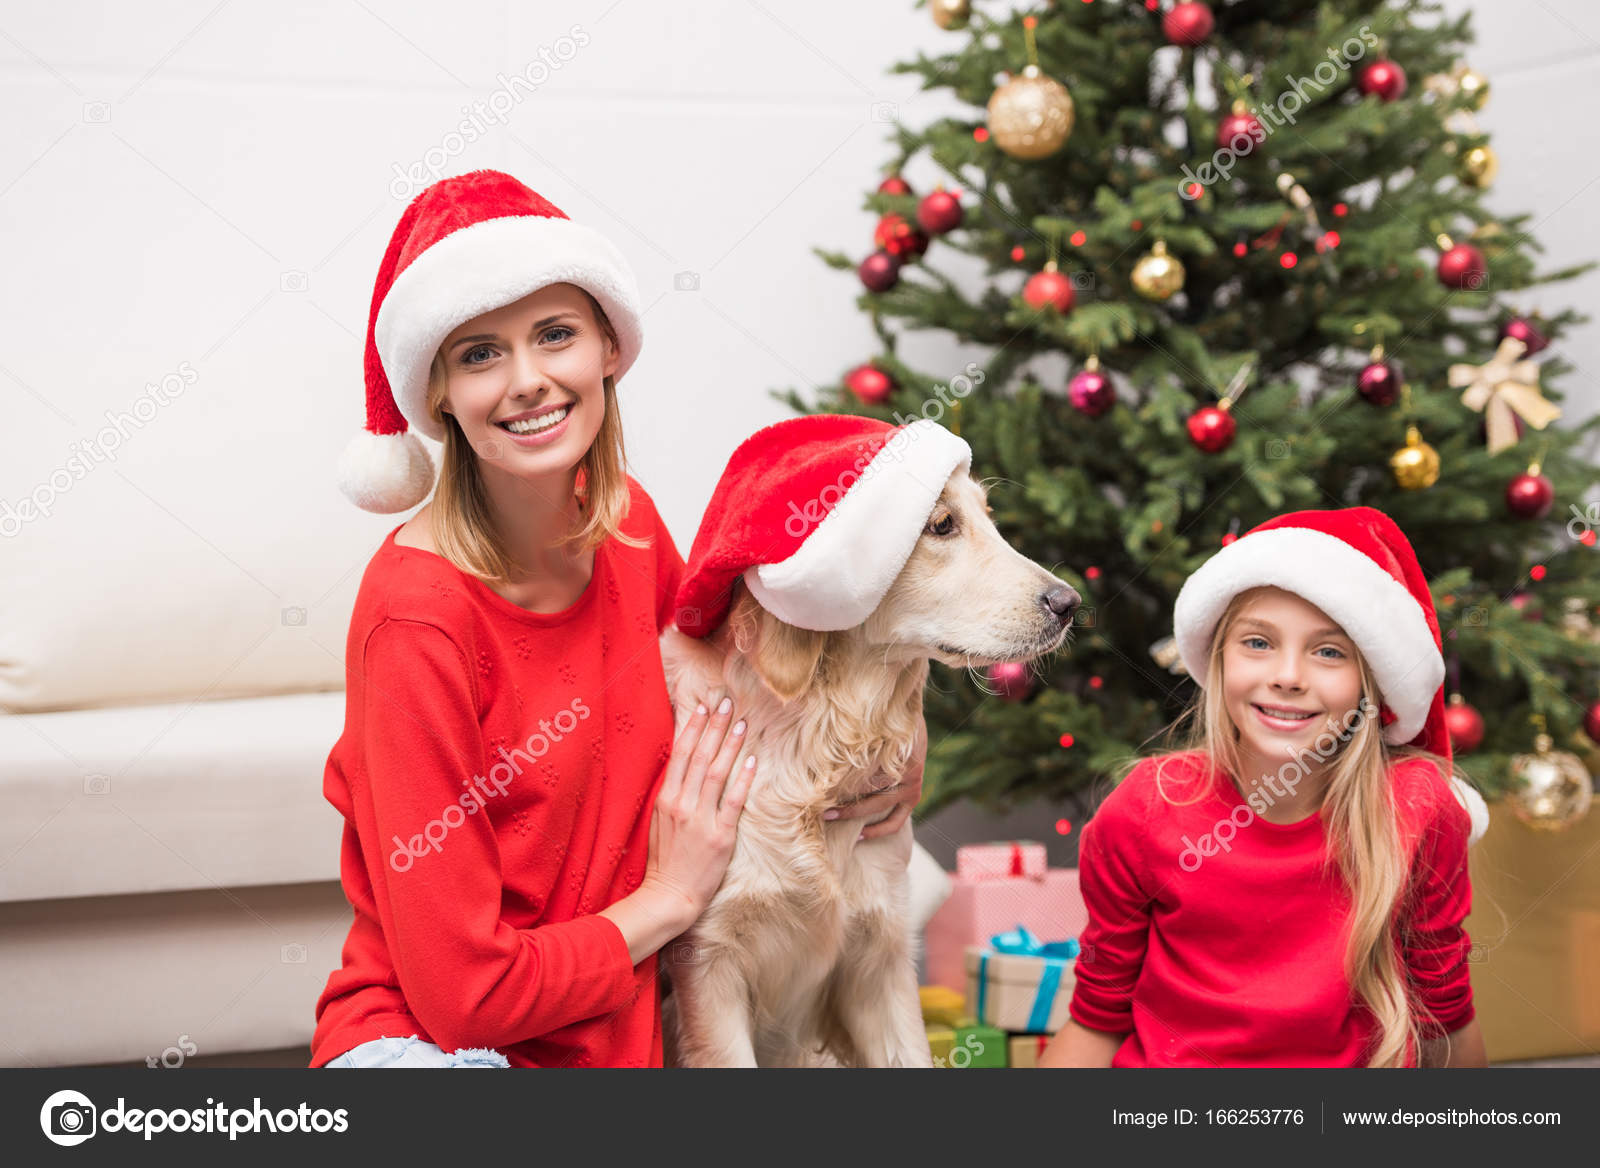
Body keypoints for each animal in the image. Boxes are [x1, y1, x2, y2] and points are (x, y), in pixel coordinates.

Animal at [656, 467, 1081, 1062]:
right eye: (941, 524)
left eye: (990, 515)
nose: (1070, 603)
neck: (819, 747)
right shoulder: (708, 969)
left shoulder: (880, 959)